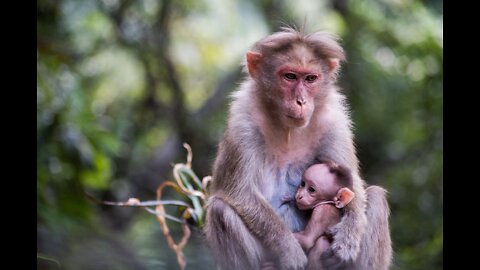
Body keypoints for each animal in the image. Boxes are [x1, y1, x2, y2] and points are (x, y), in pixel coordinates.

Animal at [204, 28, 392, 270]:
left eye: (310, 78)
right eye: (290, 77)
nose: (301, 101)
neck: (287, 129)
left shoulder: (334, 121)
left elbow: (353, 186)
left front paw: (347, 238)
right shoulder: (243, 122)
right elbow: (240, 191)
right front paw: (289, 249)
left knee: (376, 196)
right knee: (220, 209)